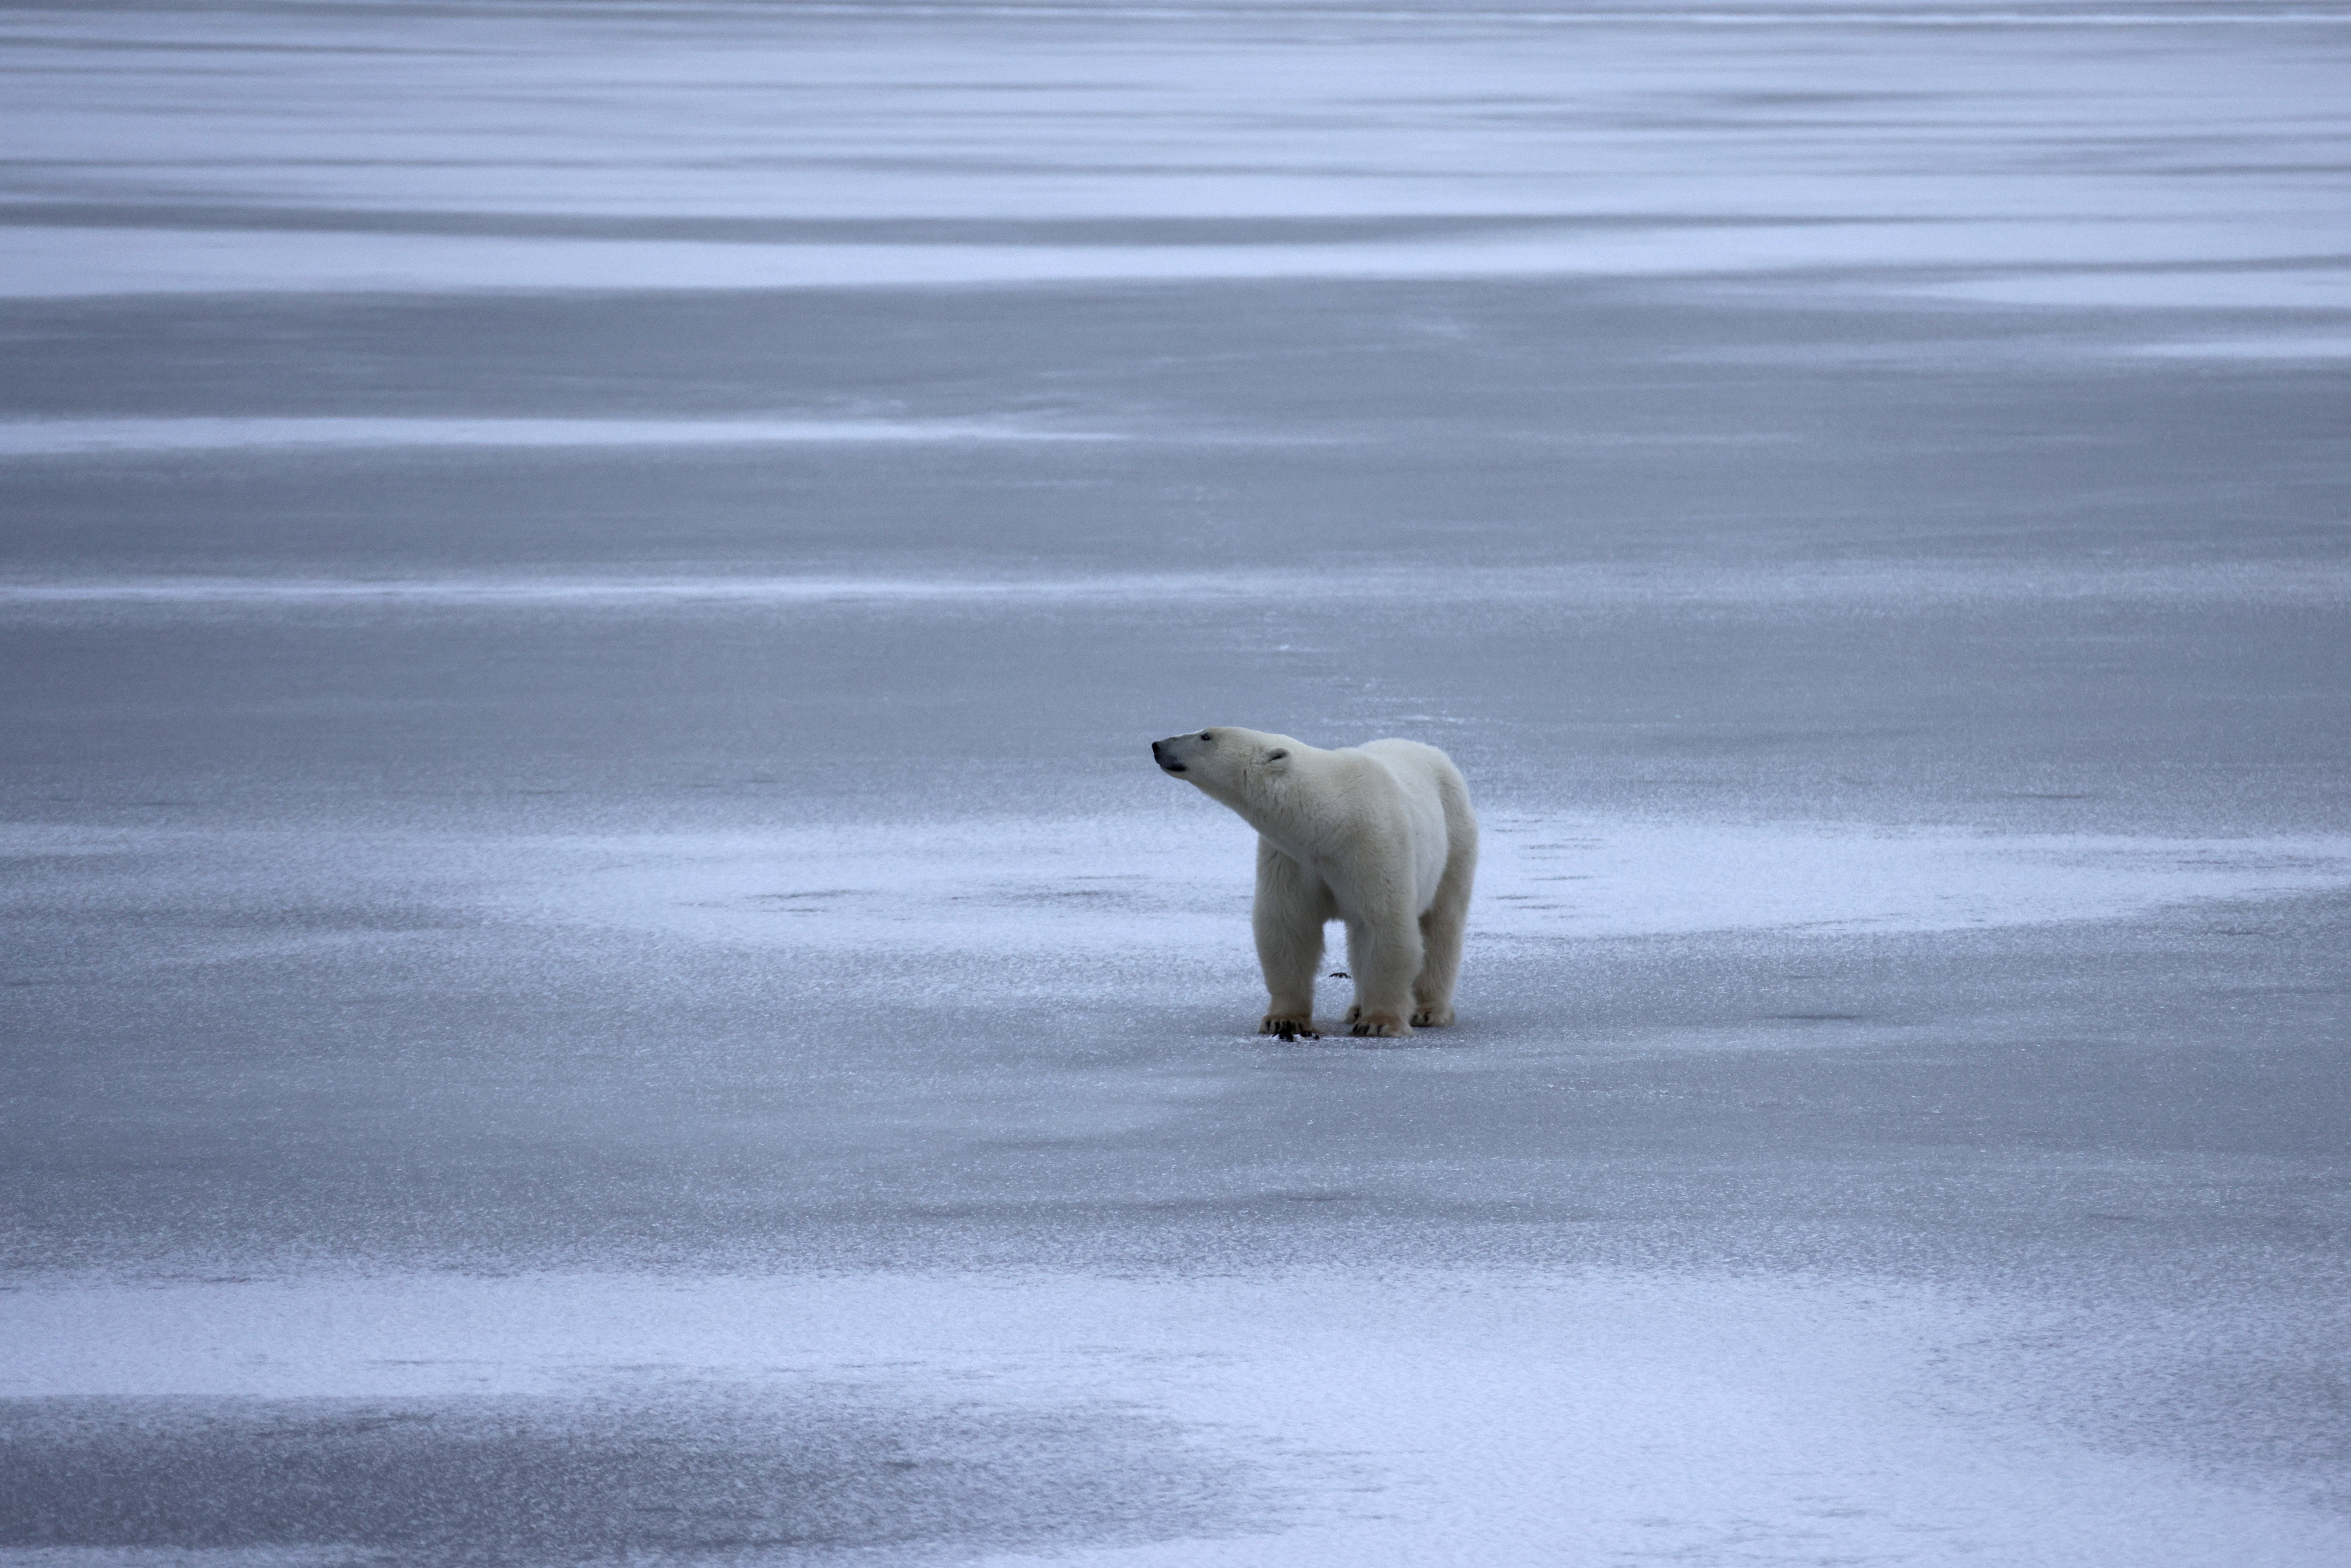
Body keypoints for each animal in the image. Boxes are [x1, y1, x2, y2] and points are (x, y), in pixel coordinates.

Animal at [1152, 729, 1476, 1044]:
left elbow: (1385, 925)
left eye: (1206, 736)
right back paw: (1356, 1008)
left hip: (1454, 836)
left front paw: (1379, 1022)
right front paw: (1283, 1020)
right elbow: (1289, 926)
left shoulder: (1374, 847)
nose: (1158, 745)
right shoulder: (1292, 859)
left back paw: (1427, 1010)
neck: (1334, 820)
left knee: (1441, 925)